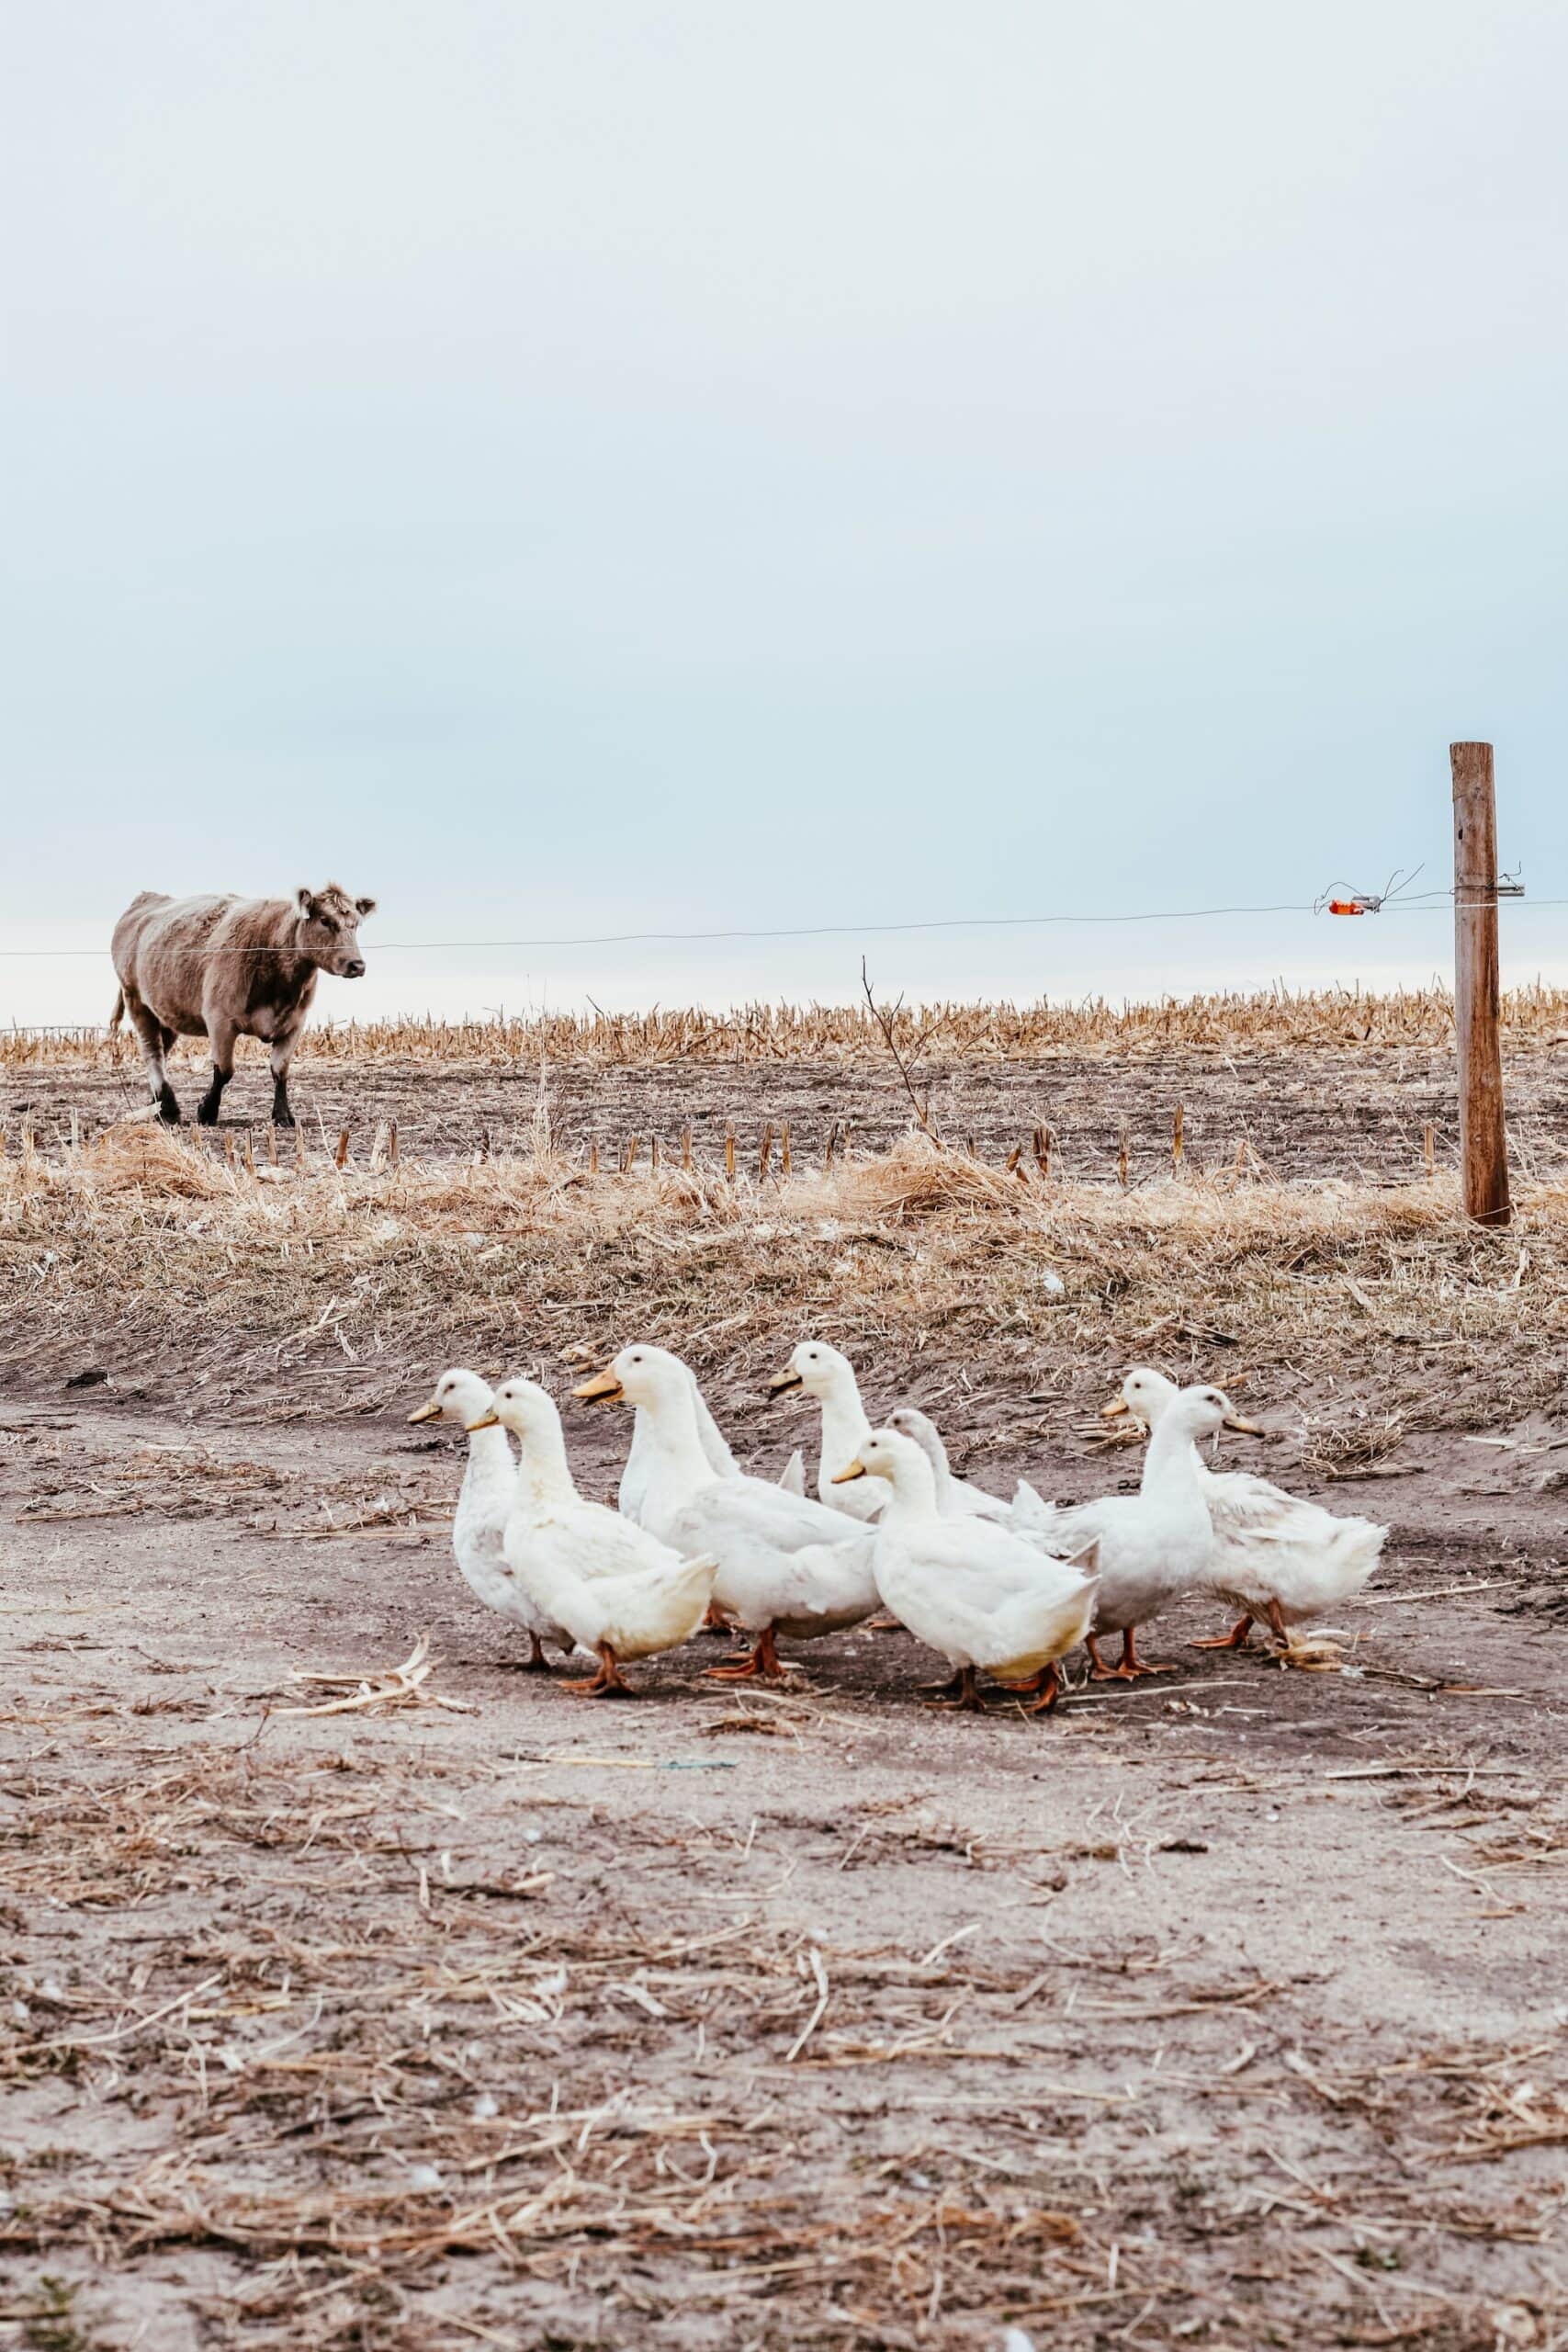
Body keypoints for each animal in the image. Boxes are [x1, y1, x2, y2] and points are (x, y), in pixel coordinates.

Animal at [109, 884, 376, 1126]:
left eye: (356, 924)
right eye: (325, 920)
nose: (357, 965)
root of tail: (147, 899)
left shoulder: (294, 1024)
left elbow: (280, 1070)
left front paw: (282, 1115)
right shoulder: (219, 1021)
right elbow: (224, 1070)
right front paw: (207, 1110)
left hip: (167, 1013)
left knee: (162, 1053)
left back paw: (157, 1104)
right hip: (136, 1001)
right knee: (152, 1053)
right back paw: (168, 1109)